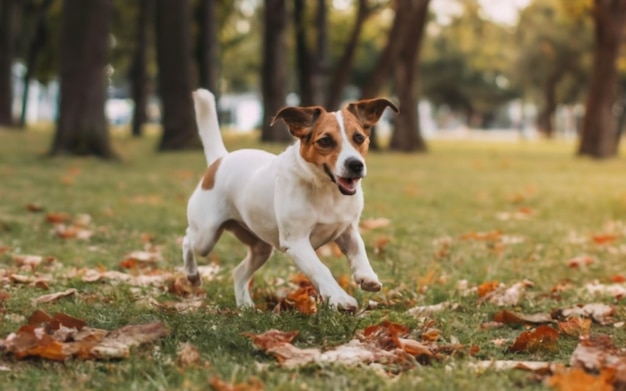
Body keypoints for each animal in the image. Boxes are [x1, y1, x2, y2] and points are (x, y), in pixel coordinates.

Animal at [183, 89, 398, 312]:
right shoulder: (297, 242)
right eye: (325, 141)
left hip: (261, 248)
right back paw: (192, 275)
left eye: (359, 137)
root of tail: (220, 159)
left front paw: (367, 277)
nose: (355, 165)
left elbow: (359, 251)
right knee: (188, 239)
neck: (327, 190)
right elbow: (320, 269)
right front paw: (340, 298)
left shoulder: (347, 230)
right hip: (206, 235)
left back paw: (245, 305)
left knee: (239, 271)